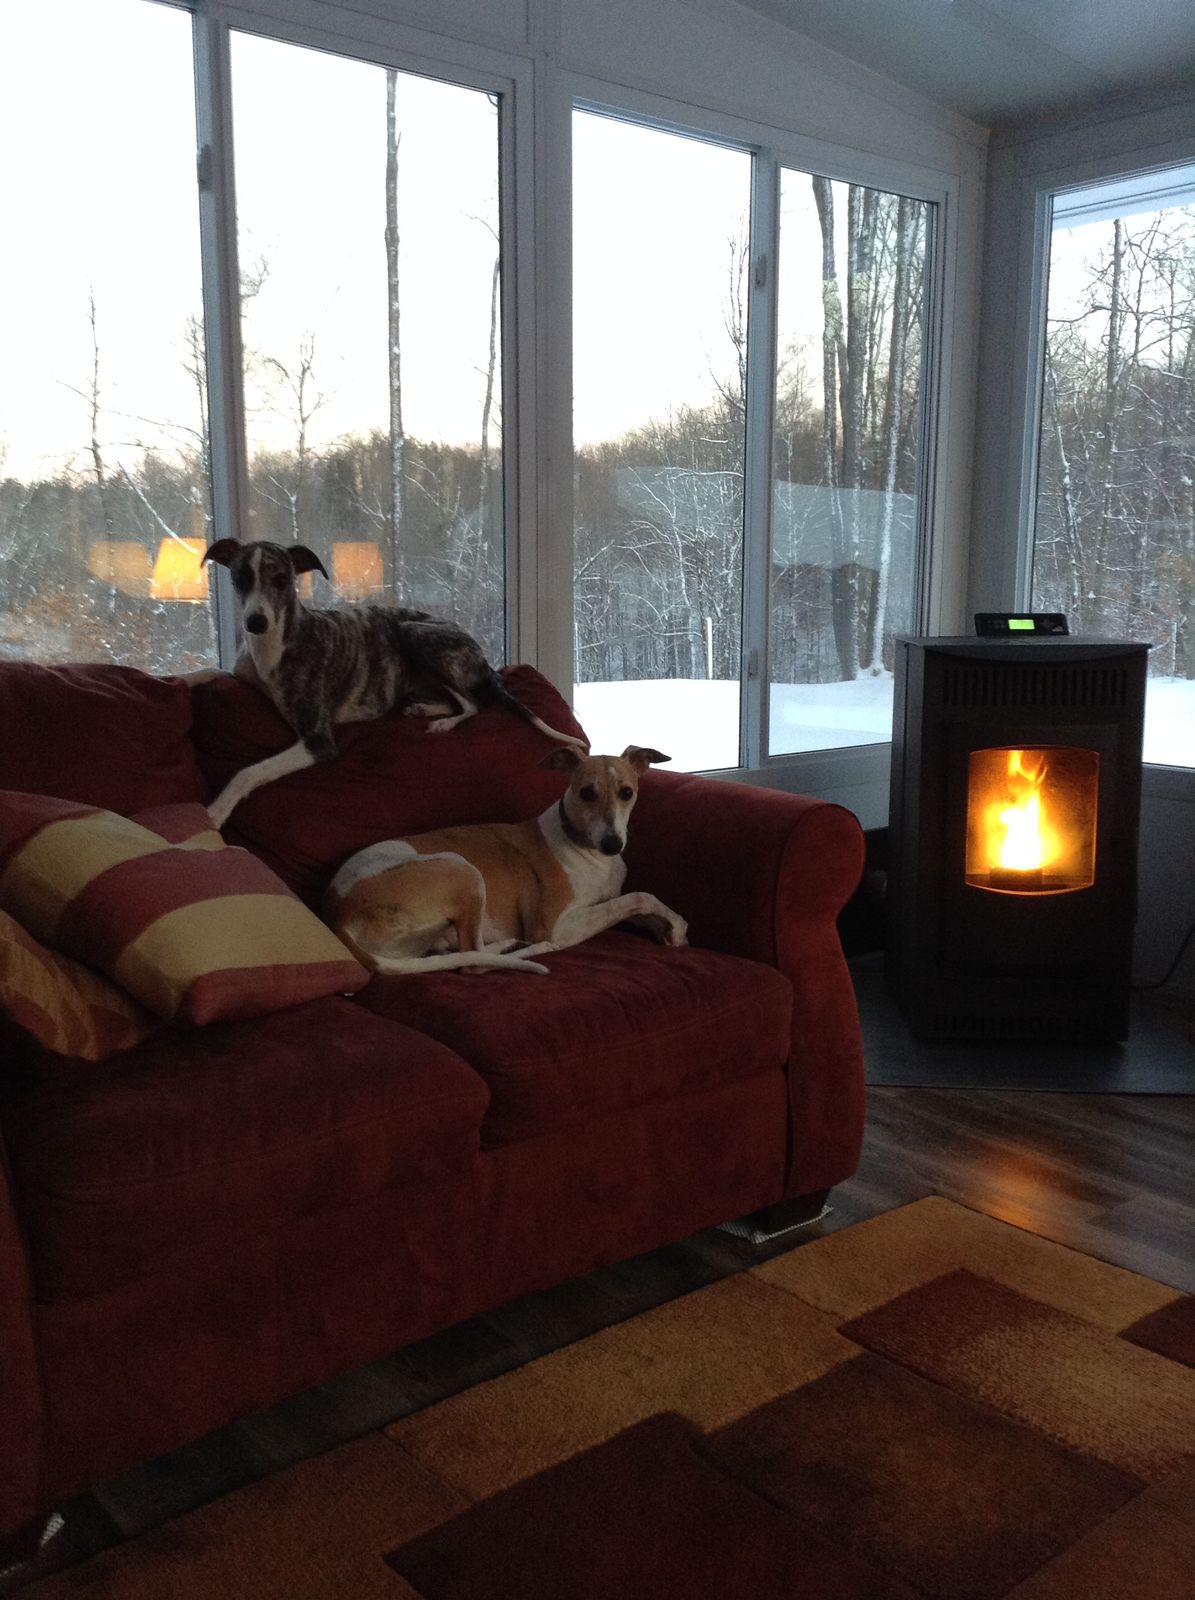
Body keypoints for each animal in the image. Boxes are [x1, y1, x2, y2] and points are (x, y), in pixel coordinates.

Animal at [196, 539, 587, 828]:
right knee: (454, 699)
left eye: (280, 580)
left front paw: (216, 810)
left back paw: (443, 723)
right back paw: (424, 709)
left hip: (414, 633)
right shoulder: (242, 673)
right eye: (240, 577)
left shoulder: (318, 741)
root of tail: (483, 659)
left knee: (472, 703)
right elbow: (212, 674)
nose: (255, 622)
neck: (273, 645)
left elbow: (249, 771)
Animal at [322, 745, 687, 975]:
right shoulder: (559, 924)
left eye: (627, 793)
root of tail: (339, 914)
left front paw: (667, 929)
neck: (582, 845)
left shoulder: (606, 900)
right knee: (474, 961)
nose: (613, 844)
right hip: (461, 868)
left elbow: (634, 906)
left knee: (461, 952)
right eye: (586, 793)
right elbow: (640, 896)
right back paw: (524, 948)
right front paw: (677, 925)